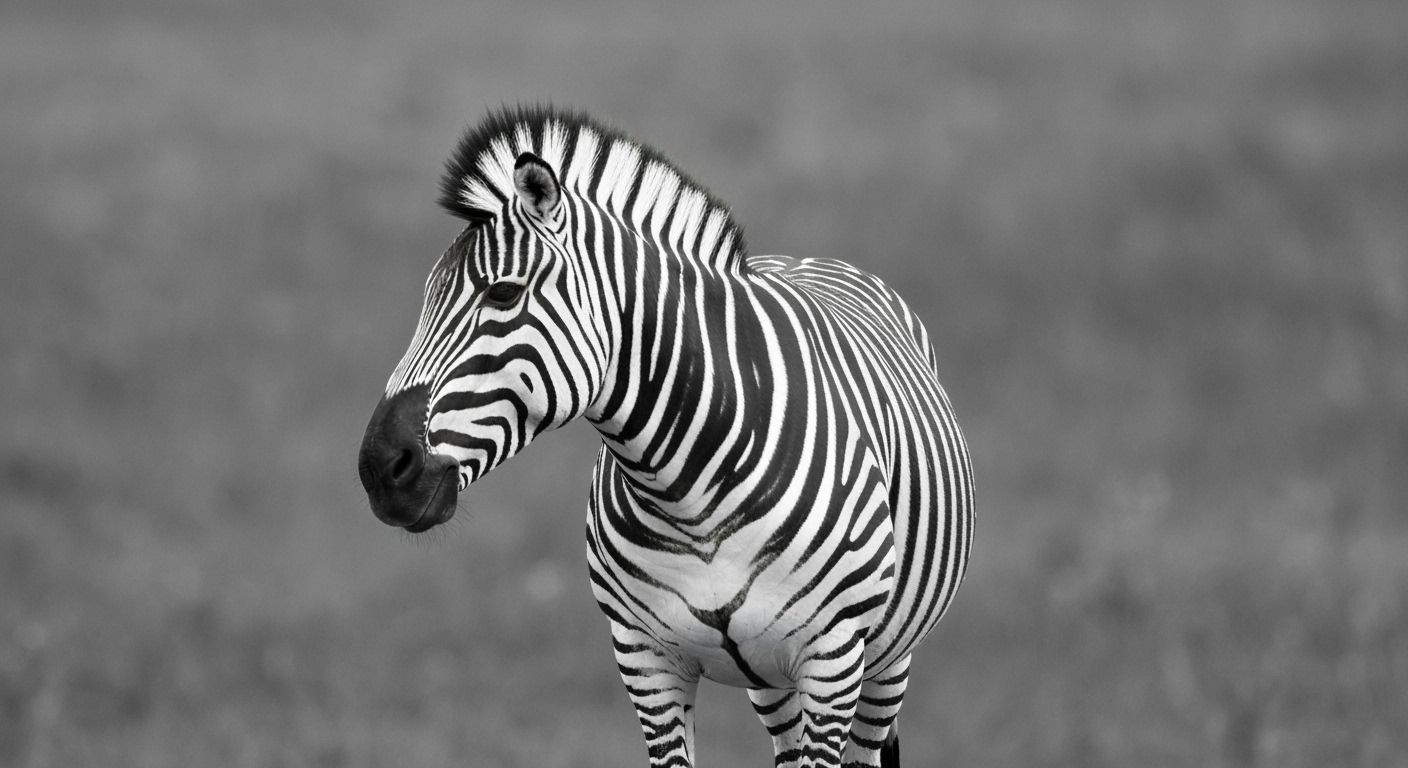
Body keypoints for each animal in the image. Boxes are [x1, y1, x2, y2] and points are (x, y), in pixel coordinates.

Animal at [357, 106, 974, 768]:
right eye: (423, 301)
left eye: (503, 292)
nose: (379, 468)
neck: (692, 494)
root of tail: (806, 260)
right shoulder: (644, 659)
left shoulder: (830, 660)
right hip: (772, 681)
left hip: (883, 663)